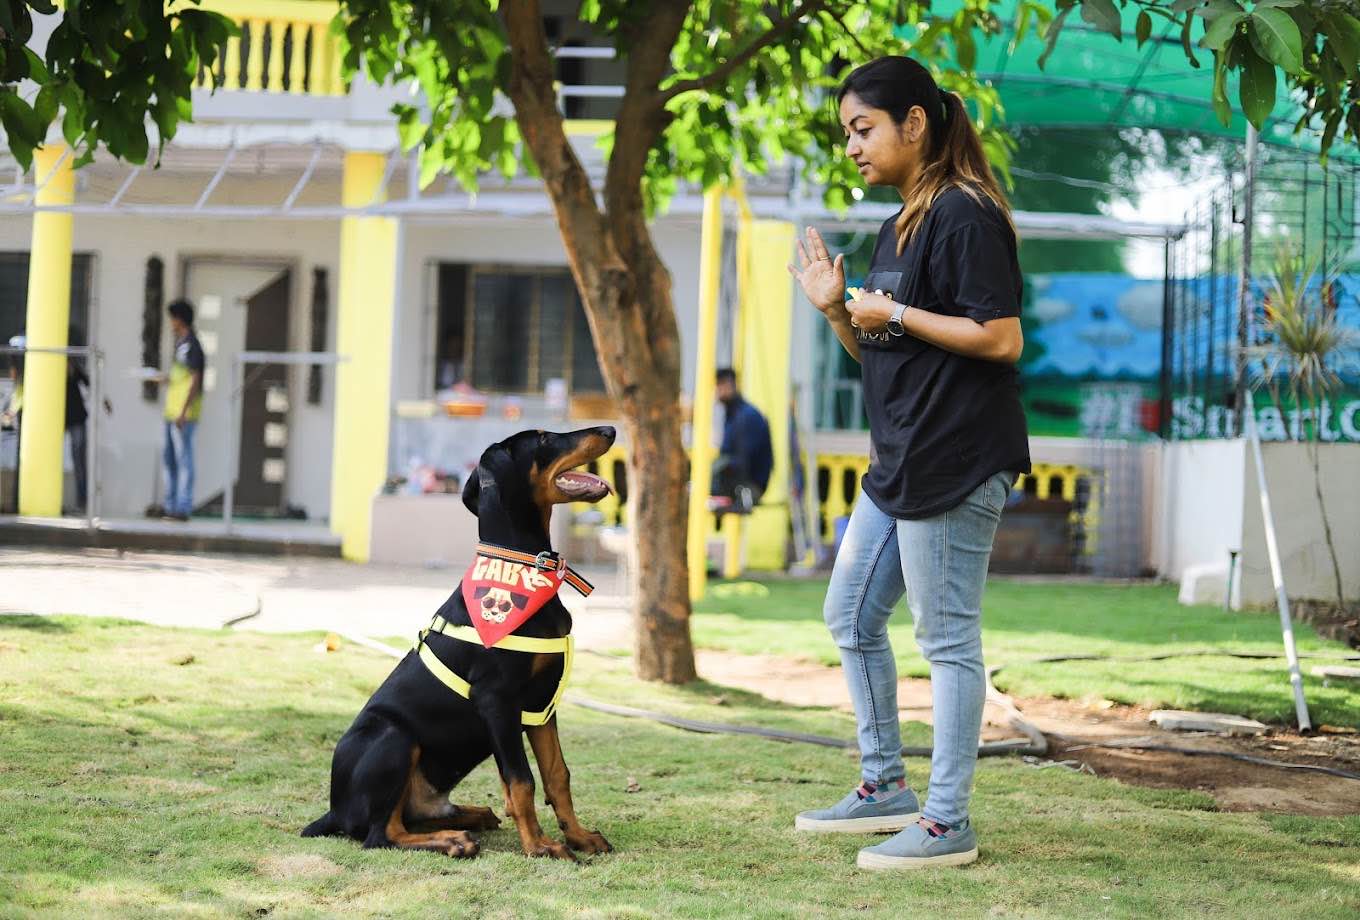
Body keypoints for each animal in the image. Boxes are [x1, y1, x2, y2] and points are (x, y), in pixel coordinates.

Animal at [302, 426, 617, 860]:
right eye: (543, 439)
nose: (610, 430)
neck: (520, 567)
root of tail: (334, 810)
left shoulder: (540, 705)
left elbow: (557, 775)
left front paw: (579, 836)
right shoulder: (496, 699)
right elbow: (522, 780)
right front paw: (539, 845)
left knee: (412, 819)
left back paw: (471, 817)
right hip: (394, 737)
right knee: (381, 834)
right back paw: (453, 840)